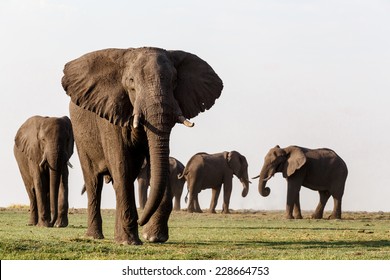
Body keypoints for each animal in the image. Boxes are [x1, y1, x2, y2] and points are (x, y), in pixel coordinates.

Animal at [62, 47, 224, 244]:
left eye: (174, 81)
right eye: (131, 82)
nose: (141, 221)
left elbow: (156, 165)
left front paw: (154, 237)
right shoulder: (111, 114)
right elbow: (122, 166)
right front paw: (129, 242)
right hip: (80, 136)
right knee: (93, 181)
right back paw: (95, 236)